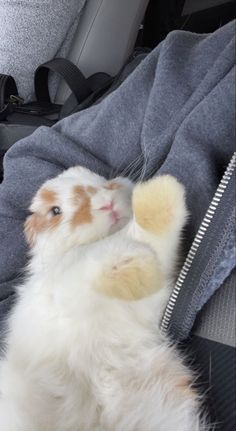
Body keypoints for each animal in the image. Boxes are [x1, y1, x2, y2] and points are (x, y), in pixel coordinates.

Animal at [0, 167, 205, 430]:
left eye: (101, 181)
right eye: (55, 211)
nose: (106, 203)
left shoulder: (149, 299)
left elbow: (153, 241)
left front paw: (160, 193)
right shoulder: (64, 286)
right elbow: (91, 262)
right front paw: (136, 264)